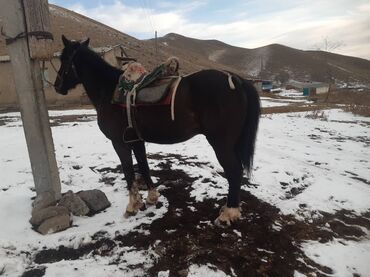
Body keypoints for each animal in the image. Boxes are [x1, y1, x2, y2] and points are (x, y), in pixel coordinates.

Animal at [54, 35, 260, 224]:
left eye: (64, 58)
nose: (57, 86)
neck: (109, 91)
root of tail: (235, 80)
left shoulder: (119, 143)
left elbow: (129, 172)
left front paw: (132, 207)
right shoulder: (136, 140)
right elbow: (144, 166)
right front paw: (152, 198)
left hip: (221, 143)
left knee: (234, 171)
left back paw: (228, 214)